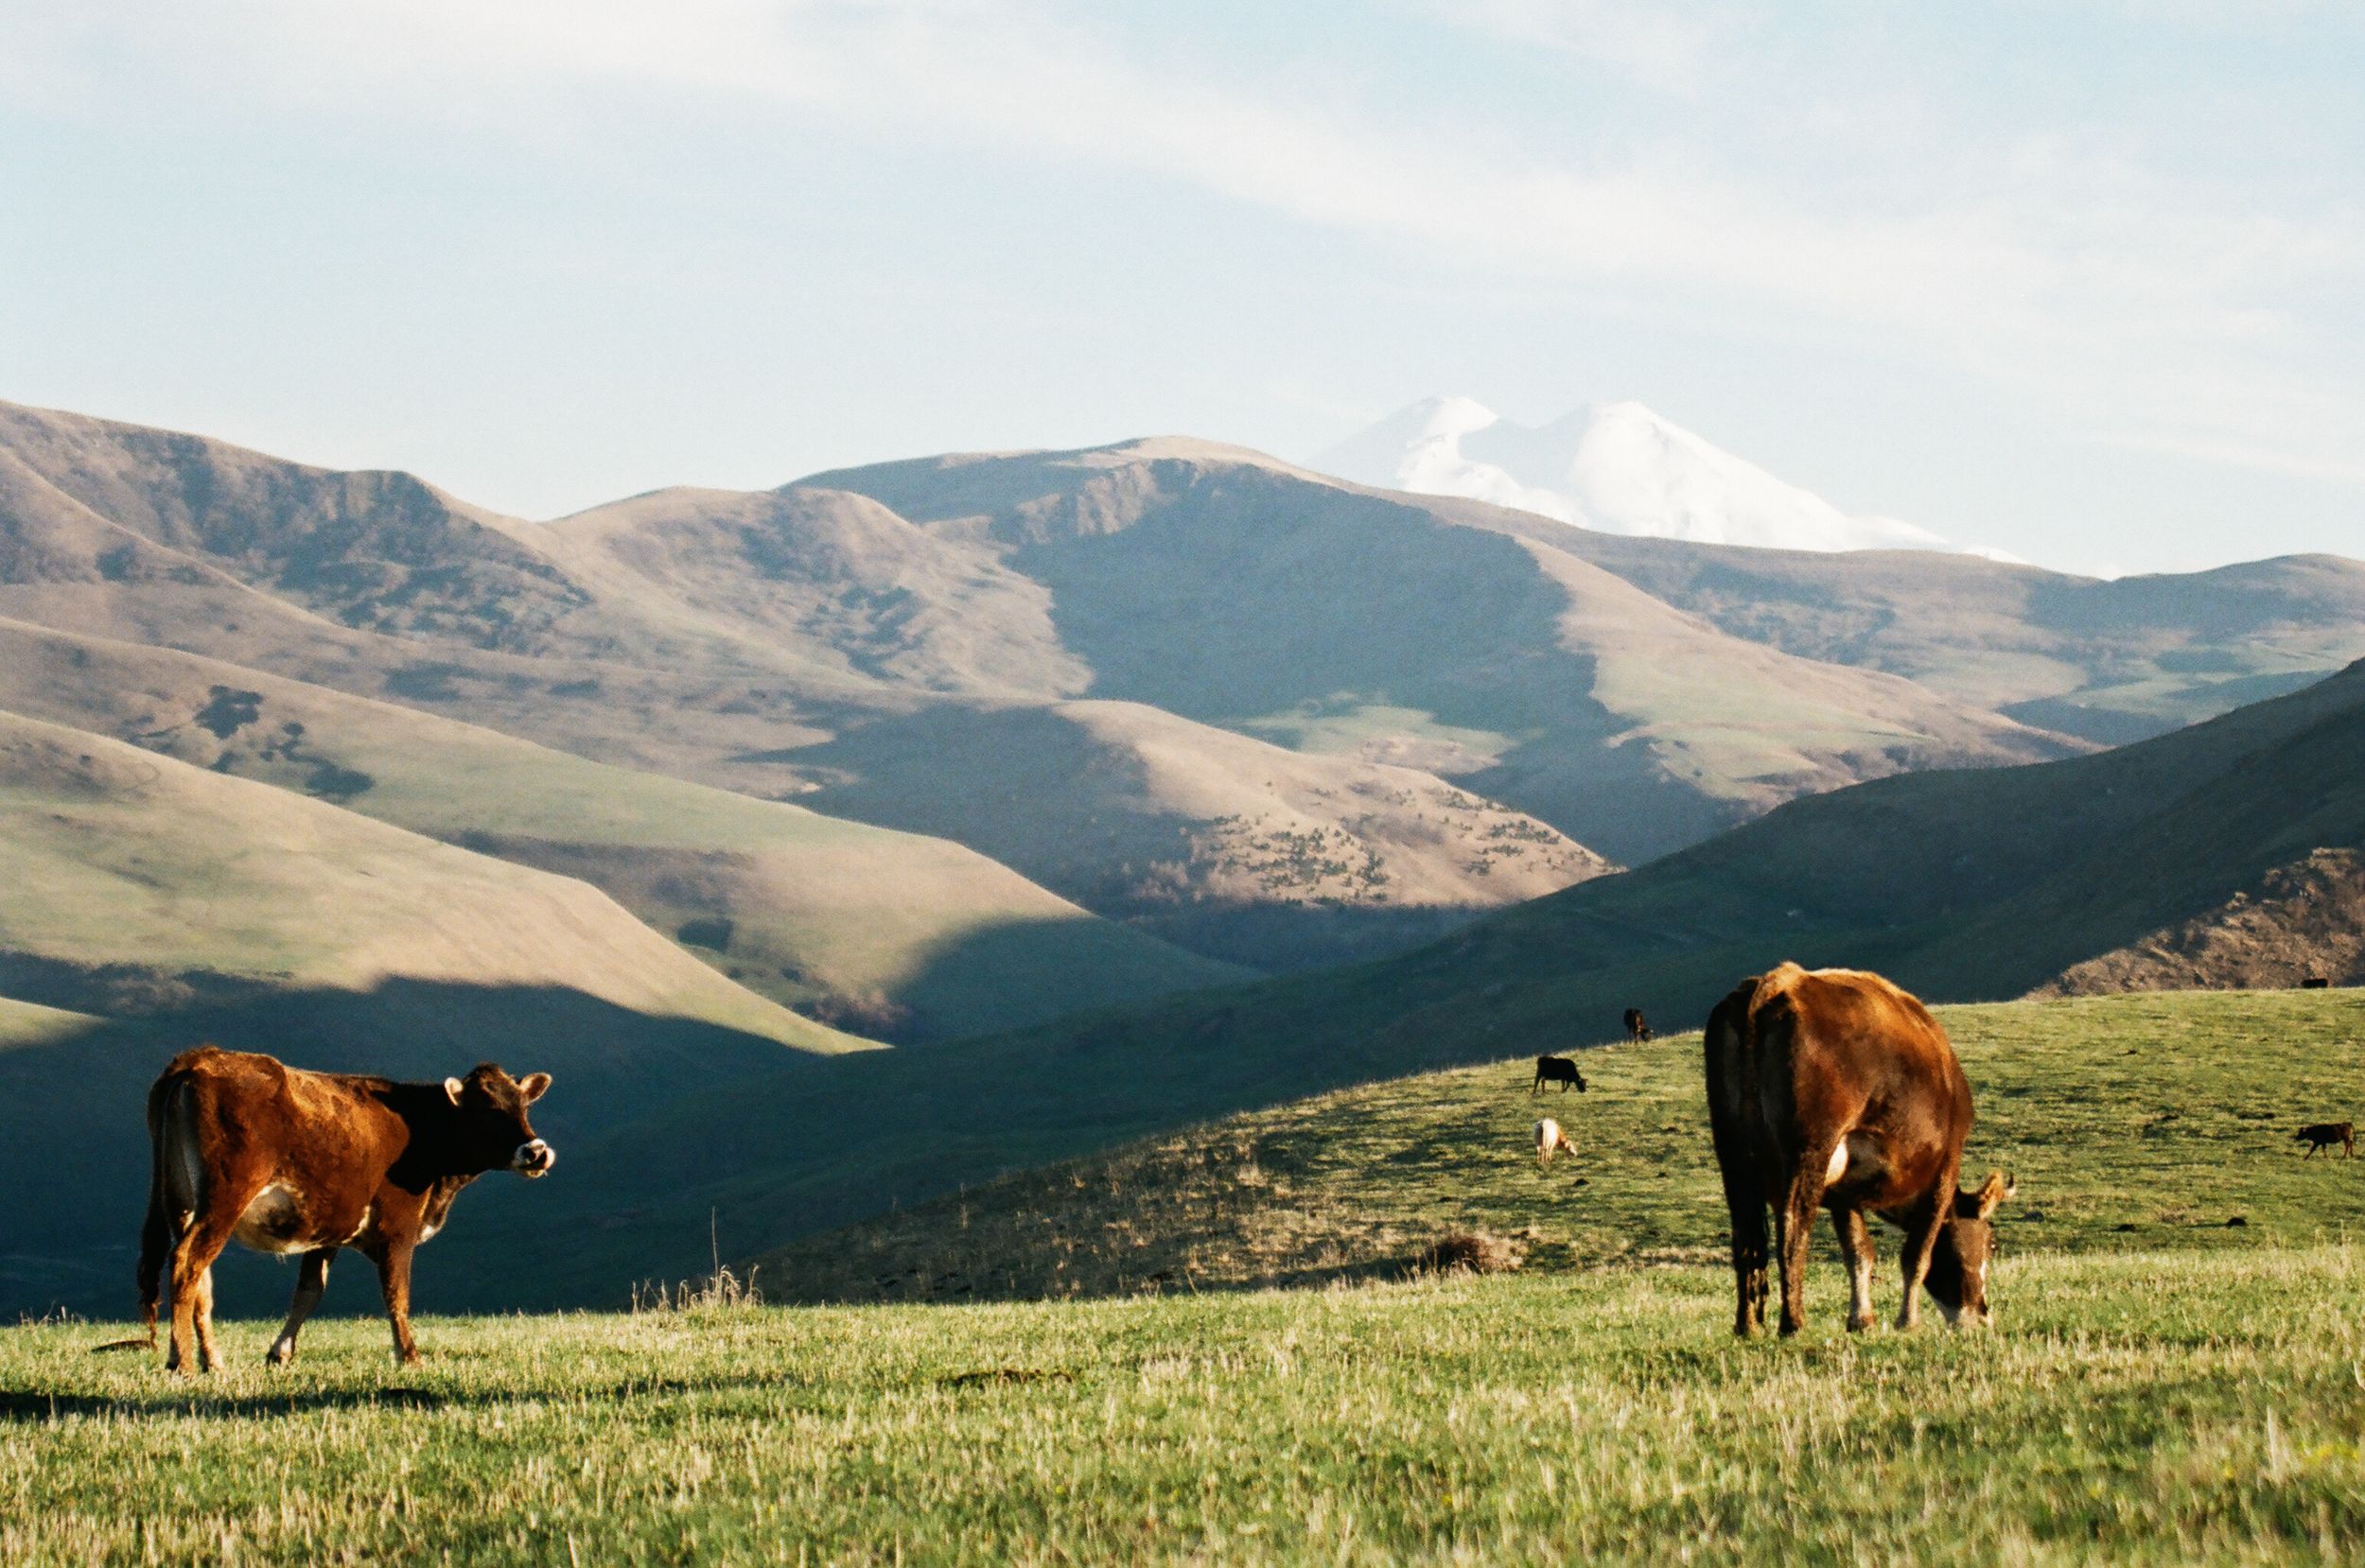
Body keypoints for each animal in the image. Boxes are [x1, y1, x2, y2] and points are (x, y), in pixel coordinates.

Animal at [132, 1046, 555, 1372]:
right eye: (485, 1110)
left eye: (523, 1106)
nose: (536, 1151)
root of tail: (198, 1058)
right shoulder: (398, 1225)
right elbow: (396, 1294)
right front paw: (410, 1356)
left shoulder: (327, 1230)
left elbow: (309, 1292)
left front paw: (280, 1353)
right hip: (225, 1197)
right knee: (187, 1263)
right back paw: (183, 1362)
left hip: (182, 1204)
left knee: (199, 1279)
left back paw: (211, 1361)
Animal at [1704, 963, 2015, 1337]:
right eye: (1992, 1245)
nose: (1983, 1316)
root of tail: (1778, 982)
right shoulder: (1944, 1168)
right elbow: (1917, 1255)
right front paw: (1908, 1321)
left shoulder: (1844, 1190)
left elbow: (1858, 1251)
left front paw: (1861, 1319)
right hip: (1809, 1148)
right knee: (1793, 1226)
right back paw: (1793, 1323)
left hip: (1732, 1149)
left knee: (1745, 1234)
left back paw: (1748, 1324)